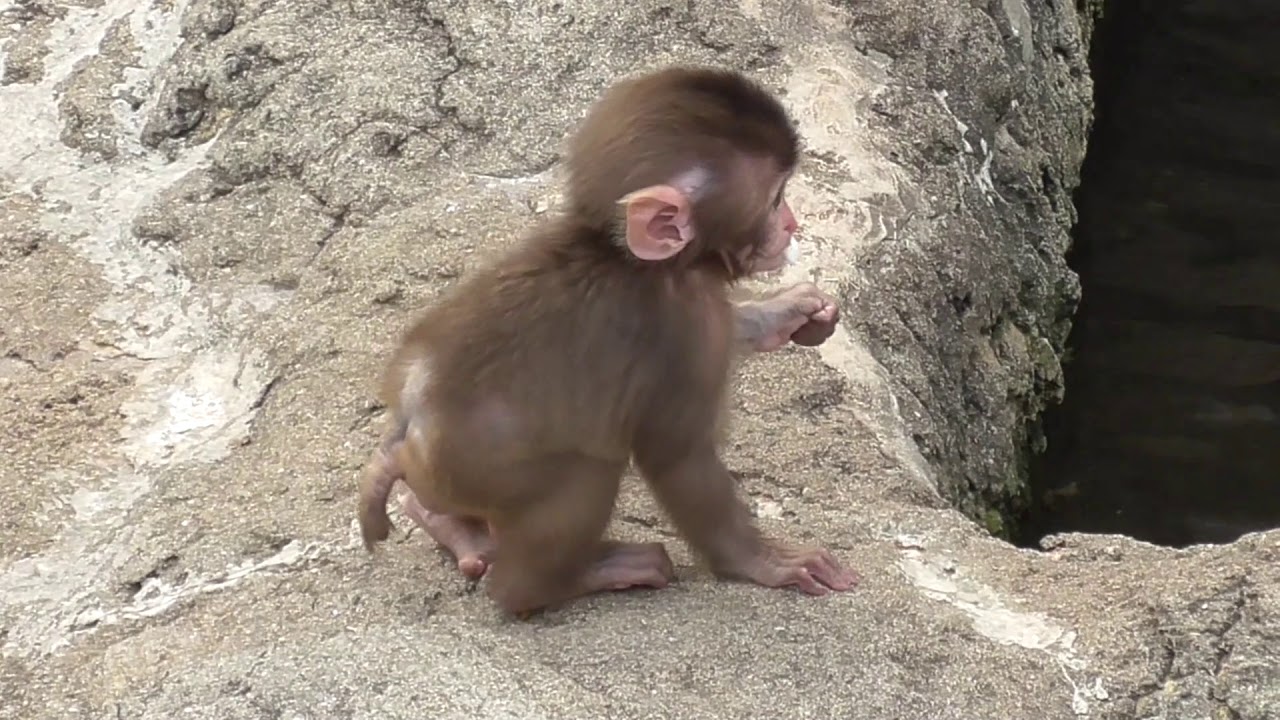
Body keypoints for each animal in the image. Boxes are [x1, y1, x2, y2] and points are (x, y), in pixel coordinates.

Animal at [357, 65, 858, 616]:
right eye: (774, 199)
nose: (791, 223)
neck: (630, 257)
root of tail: (408, 428)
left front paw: (792, 310)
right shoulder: (684, 326)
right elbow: (678, 455)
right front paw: (763, 561)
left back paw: (449, 528)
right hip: (480, 471)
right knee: (585, 472)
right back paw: (557, 582)